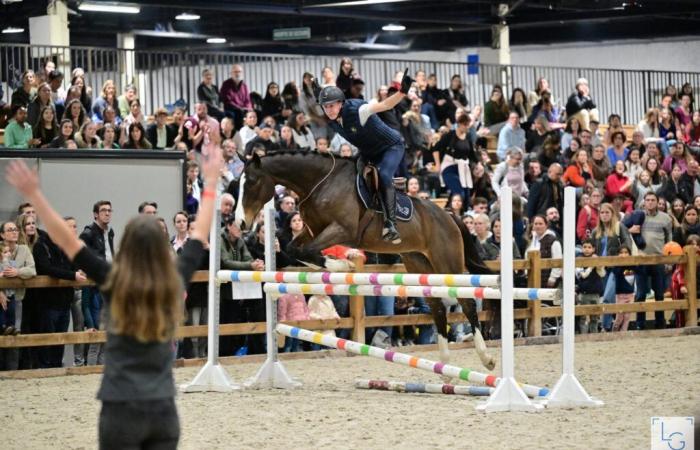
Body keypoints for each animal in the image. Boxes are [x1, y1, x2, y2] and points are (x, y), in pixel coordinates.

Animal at [241, 149, 498, 370]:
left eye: (251, 182)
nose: (243, 223)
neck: (320, 183)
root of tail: (449, 215)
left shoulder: (341, 230)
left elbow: (306, 251)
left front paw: (341, 265)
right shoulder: (313, 231)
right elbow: (294, 249)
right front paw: (337, 263)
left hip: (446, 261)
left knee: (466, 301)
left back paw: (486, 358)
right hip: (419, 262)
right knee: (437, 305)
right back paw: (443, 364)